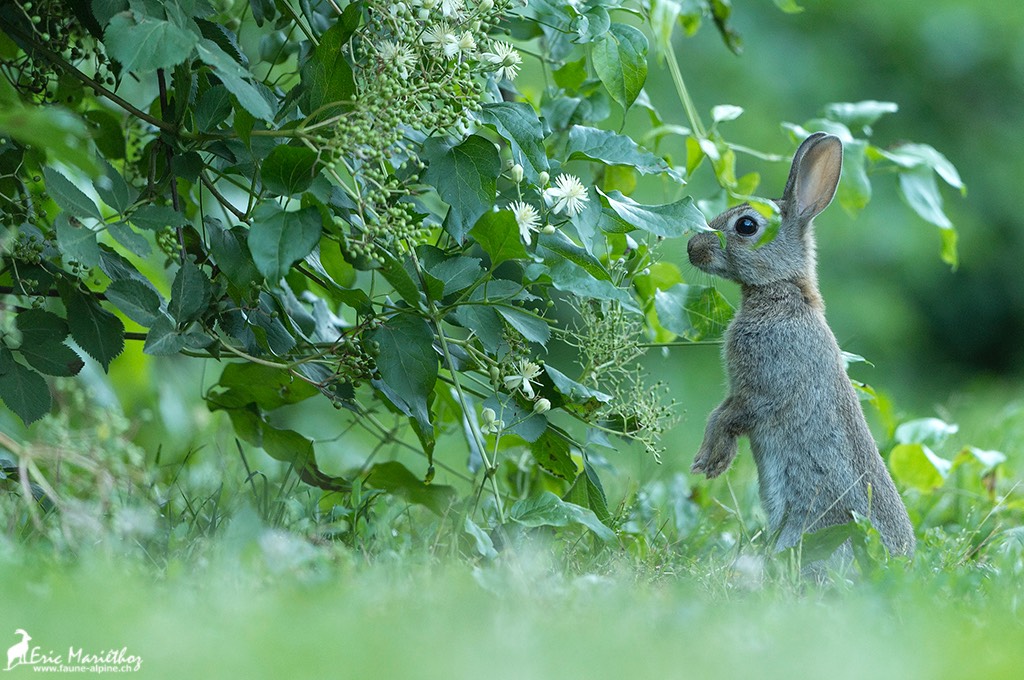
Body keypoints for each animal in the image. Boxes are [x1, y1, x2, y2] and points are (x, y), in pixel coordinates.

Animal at [688, 130, 913, 561]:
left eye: (746, 225)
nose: (692, 248)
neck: (783, 292)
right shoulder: (740, 391)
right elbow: (718, 412)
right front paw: (709, 459)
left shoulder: (763, 390)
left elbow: (727, 417)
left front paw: (711, 461)